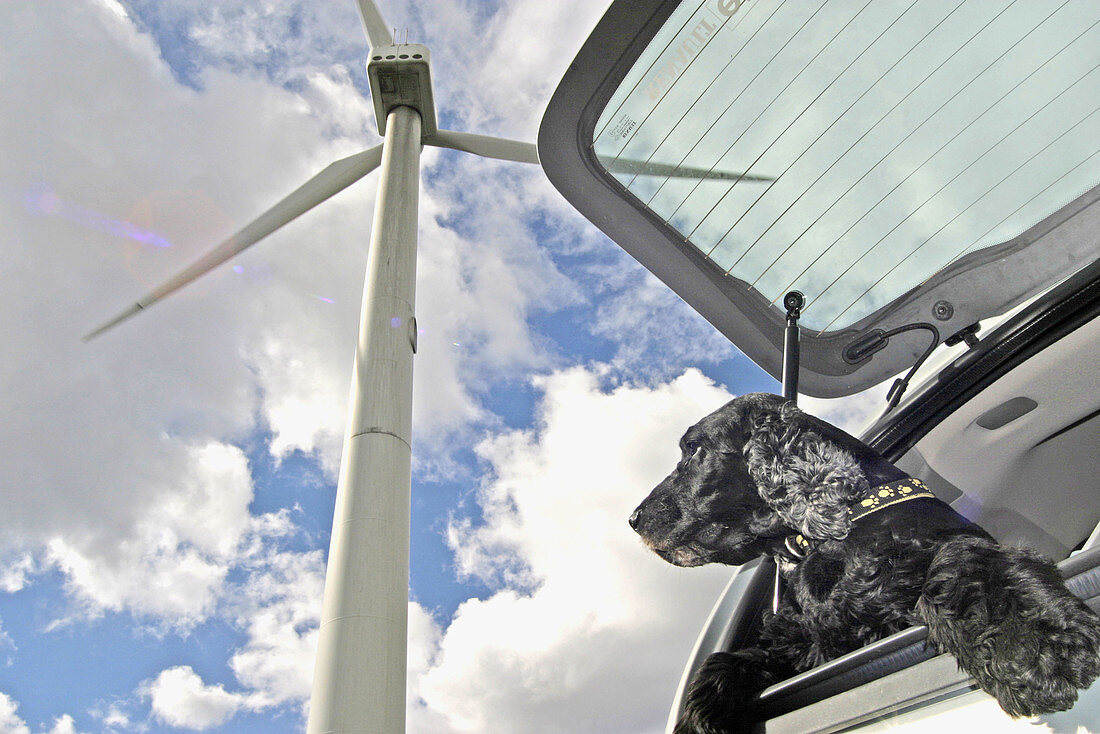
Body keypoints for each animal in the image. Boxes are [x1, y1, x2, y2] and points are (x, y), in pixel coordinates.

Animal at [629, 396, 1100, 734]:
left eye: (695, 451)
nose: (633, 519)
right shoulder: (806, 642)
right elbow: (729, 661)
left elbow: (960, 560)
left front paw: (1034, 651)